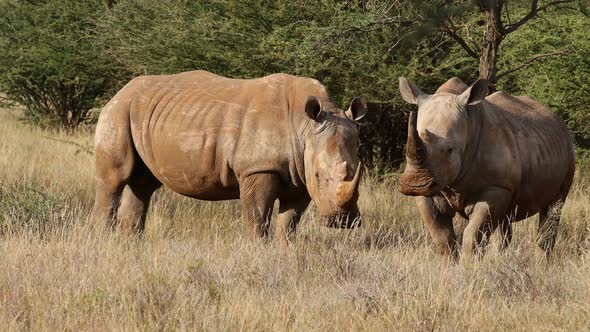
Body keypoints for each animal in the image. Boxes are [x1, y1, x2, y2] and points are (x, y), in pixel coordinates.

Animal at [91, 70, 370, 241]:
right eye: (319, 175)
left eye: (357, 169)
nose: (343, 221)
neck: (305, 128)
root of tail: (120, 90)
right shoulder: (258, 167)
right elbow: (257, 217)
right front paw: (258, 250)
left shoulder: (300, 174)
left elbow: (289, 222)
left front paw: (285, 250)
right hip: (118, 112)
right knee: (114, 179)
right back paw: (104, 240)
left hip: (142, 114)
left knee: (143, 184)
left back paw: (131, 243)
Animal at [400, 76, 576, 258]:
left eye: (450, 150)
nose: (414, 184)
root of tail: (557, 119)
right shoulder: (434, 185)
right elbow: (441, 236)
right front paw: (449, 263)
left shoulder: (496, 186)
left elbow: (473, 234)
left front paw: (469, 264)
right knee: (504, 219)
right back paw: (499, 257)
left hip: (568, 153)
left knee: (553, 208)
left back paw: (540, 261)